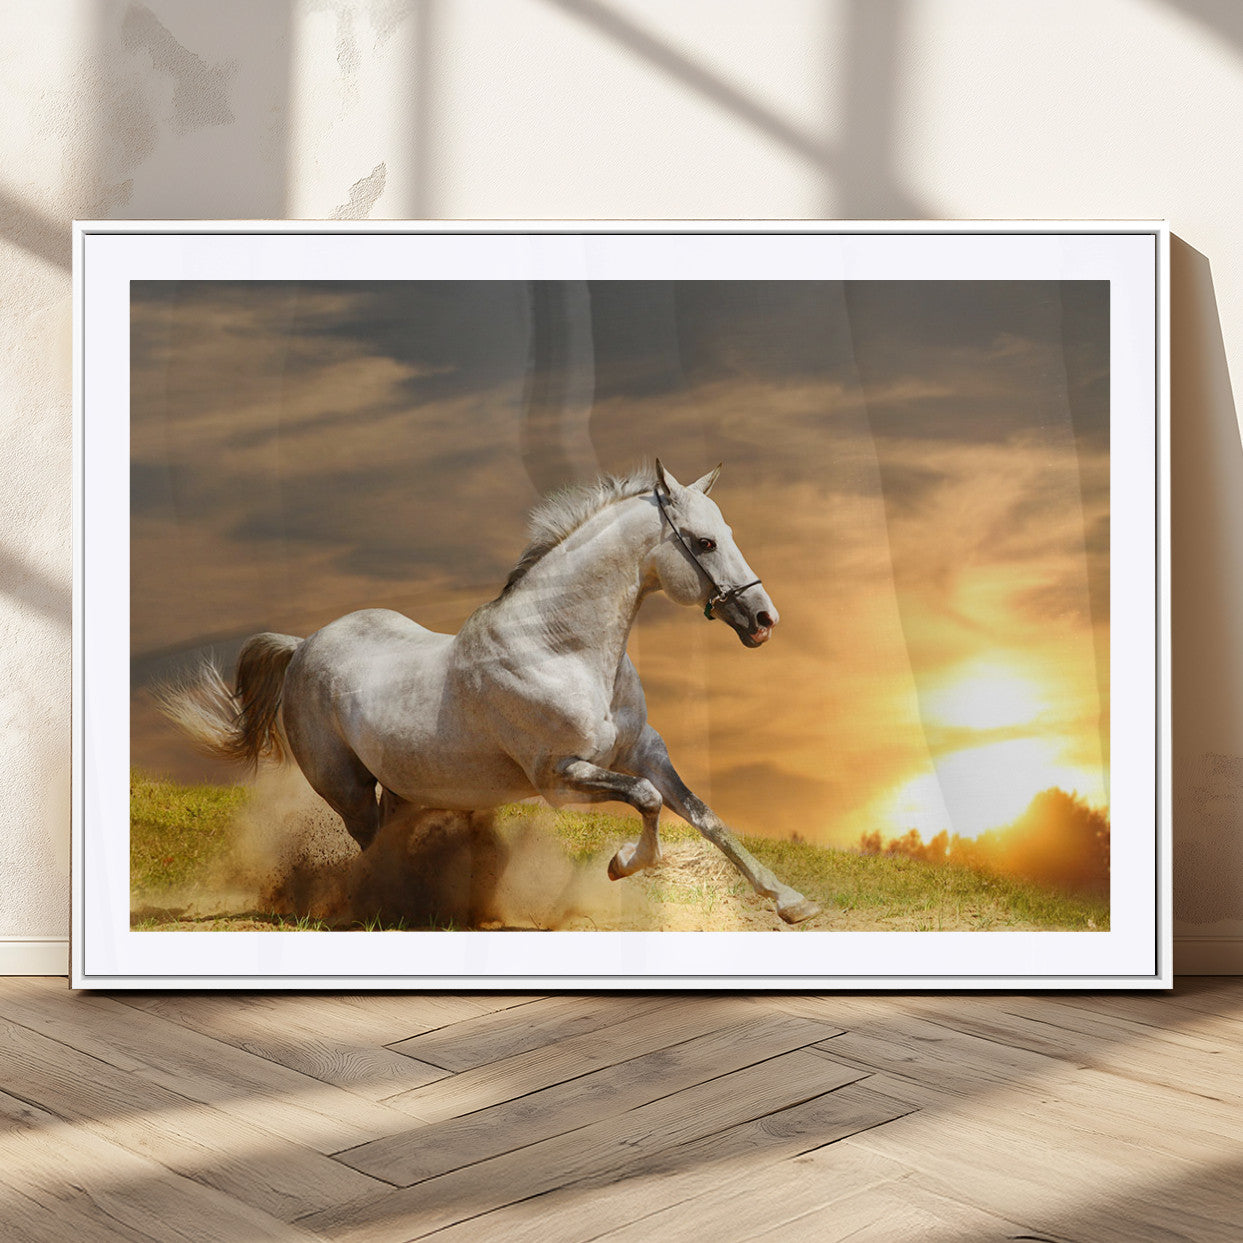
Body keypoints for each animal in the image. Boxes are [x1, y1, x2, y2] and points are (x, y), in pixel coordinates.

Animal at [161, 460, 821, 924]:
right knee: (370, 845)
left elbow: (705, 816)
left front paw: (792, 902)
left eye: (727, 531)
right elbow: (648, 800)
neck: (561, 648)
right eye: (704, 542)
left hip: (407, 787)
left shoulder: (644, 752)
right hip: (345, 788)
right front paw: (620, 866)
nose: (764, 619)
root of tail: (302, 646)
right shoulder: (560, 777)